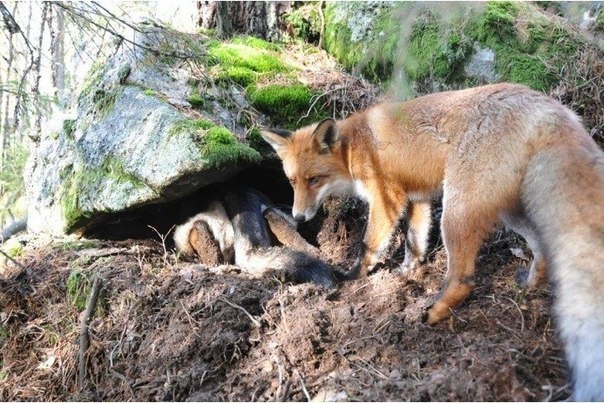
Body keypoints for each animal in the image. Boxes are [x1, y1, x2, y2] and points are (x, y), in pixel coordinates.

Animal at [260, 82, 604, 400]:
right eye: (292, 181)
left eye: (314, 180)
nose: (299, 217)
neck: (355, 147)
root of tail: (545, 104)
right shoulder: (418, 199)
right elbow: (414, 243)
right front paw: (407, 275)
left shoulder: (387, 199)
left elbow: (368, 245)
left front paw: (352, 278)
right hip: (509, 210)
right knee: (541, 249)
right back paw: (527, 286)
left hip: (456, 210)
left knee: (464, 279)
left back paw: (434, 311)